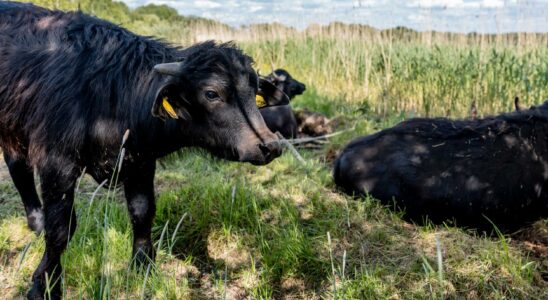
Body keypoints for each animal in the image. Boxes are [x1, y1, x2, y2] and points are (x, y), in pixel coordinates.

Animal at [0, 2, 280, 300]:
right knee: (19, 168)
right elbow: (60, 230)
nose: (269, 145)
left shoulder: (141, 162)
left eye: (254, 91)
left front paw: (143, 265)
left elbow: (142, 212)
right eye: (211, 93)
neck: (113, 93)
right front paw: (45, 285)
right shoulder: (57, 164)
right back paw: (37, 221)